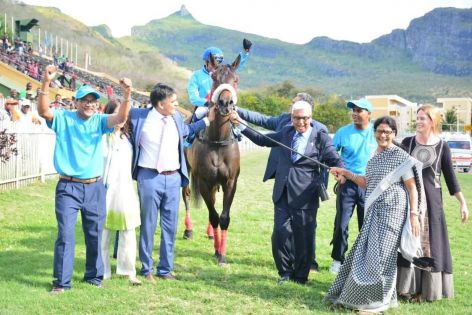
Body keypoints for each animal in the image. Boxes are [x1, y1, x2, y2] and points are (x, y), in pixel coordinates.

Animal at [183, 53, 242, 266]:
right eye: (215, 78)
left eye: (236, 80)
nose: (226, 103)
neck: (217, 141)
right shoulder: (204, 181)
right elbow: (214, 215)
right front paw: (218, 251)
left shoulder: (230, 182)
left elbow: (223, 217)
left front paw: (222, 253)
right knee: (186, 195)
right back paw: (188, 229)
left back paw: (210, 233)